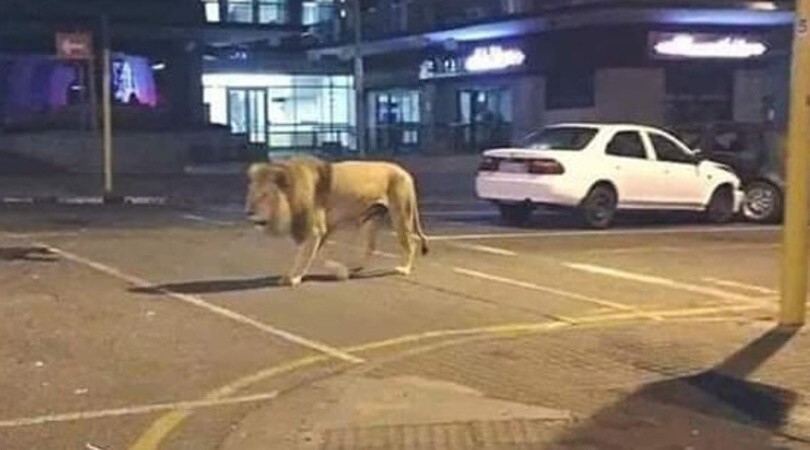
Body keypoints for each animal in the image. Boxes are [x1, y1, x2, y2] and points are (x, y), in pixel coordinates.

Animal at [245, 156, 429, 287]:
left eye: (264, 195)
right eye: (252, 193)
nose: (248, 212)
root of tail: (405, 173)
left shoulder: (316, 229)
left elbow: (305, 255)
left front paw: (295, 278)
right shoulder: (320, 230)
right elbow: (313, 254)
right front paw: (340, 271)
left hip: (401, 214)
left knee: (411, 241)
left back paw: (404, 269)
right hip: (371, 220)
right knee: (371, 246)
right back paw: (356, 267)